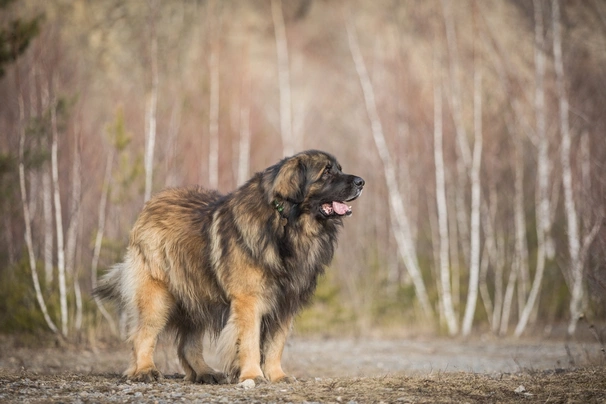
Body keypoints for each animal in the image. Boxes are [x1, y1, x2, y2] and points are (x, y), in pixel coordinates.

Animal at [92, 149, 364, 386]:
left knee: (188, 344)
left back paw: (205, 373)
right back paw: (145, 370)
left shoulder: (286, 302)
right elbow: (250, 341)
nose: (361, 181)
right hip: (157, 295)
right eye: (326, 172)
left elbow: (275, 345)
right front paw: (253, 375)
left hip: (197, 293)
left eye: (339, 168)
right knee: (143, 333)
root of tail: (152, 204)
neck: (287, 223)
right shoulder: (249, 301)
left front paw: (277, 376)